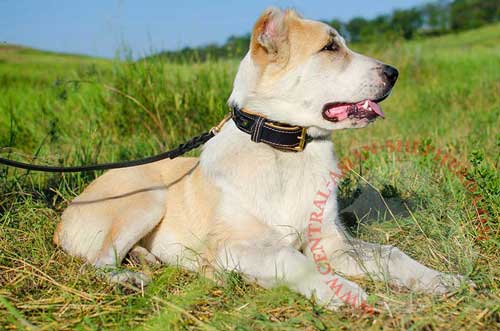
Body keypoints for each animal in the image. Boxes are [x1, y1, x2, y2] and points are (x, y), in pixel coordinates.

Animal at [52, 6, 466, 310]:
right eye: (330, 48)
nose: (394, 73)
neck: (284, 150)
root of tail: (65, 216)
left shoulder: (333, 243)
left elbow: (392, 255)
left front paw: (441, 279)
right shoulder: (234, 246)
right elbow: (291, 259)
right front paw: (341, 290)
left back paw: (144, 260)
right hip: (149, 197)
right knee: (96, 260)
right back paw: (130, 277)